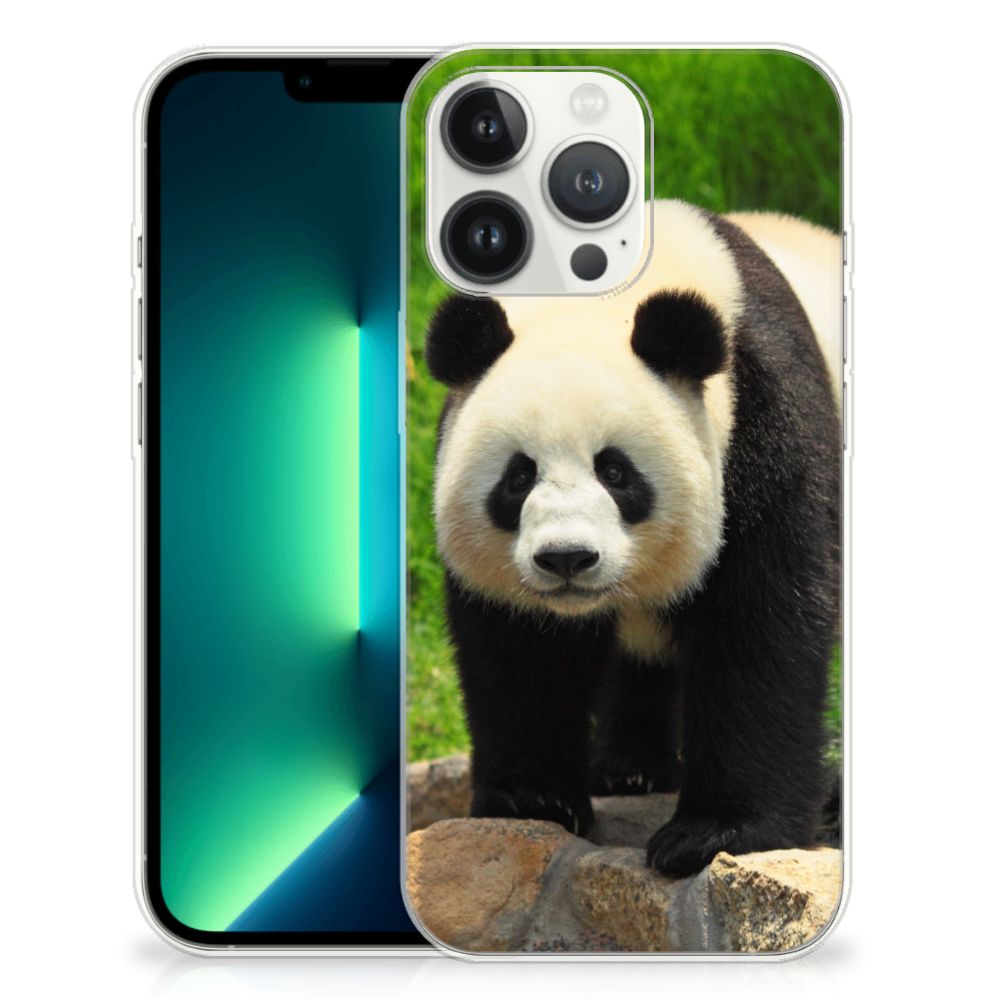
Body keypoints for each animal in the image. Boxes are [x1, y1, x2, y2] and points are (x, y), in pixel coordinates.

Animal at [423, 199, 842, 877]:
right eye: (518, 477)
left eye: (615, 472)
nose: (567, 558)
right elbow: (521, 649)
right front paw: (533, 799)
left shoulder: (765, 422)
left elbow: (762, 623)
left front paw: (715, 833)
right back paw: (629, 769)